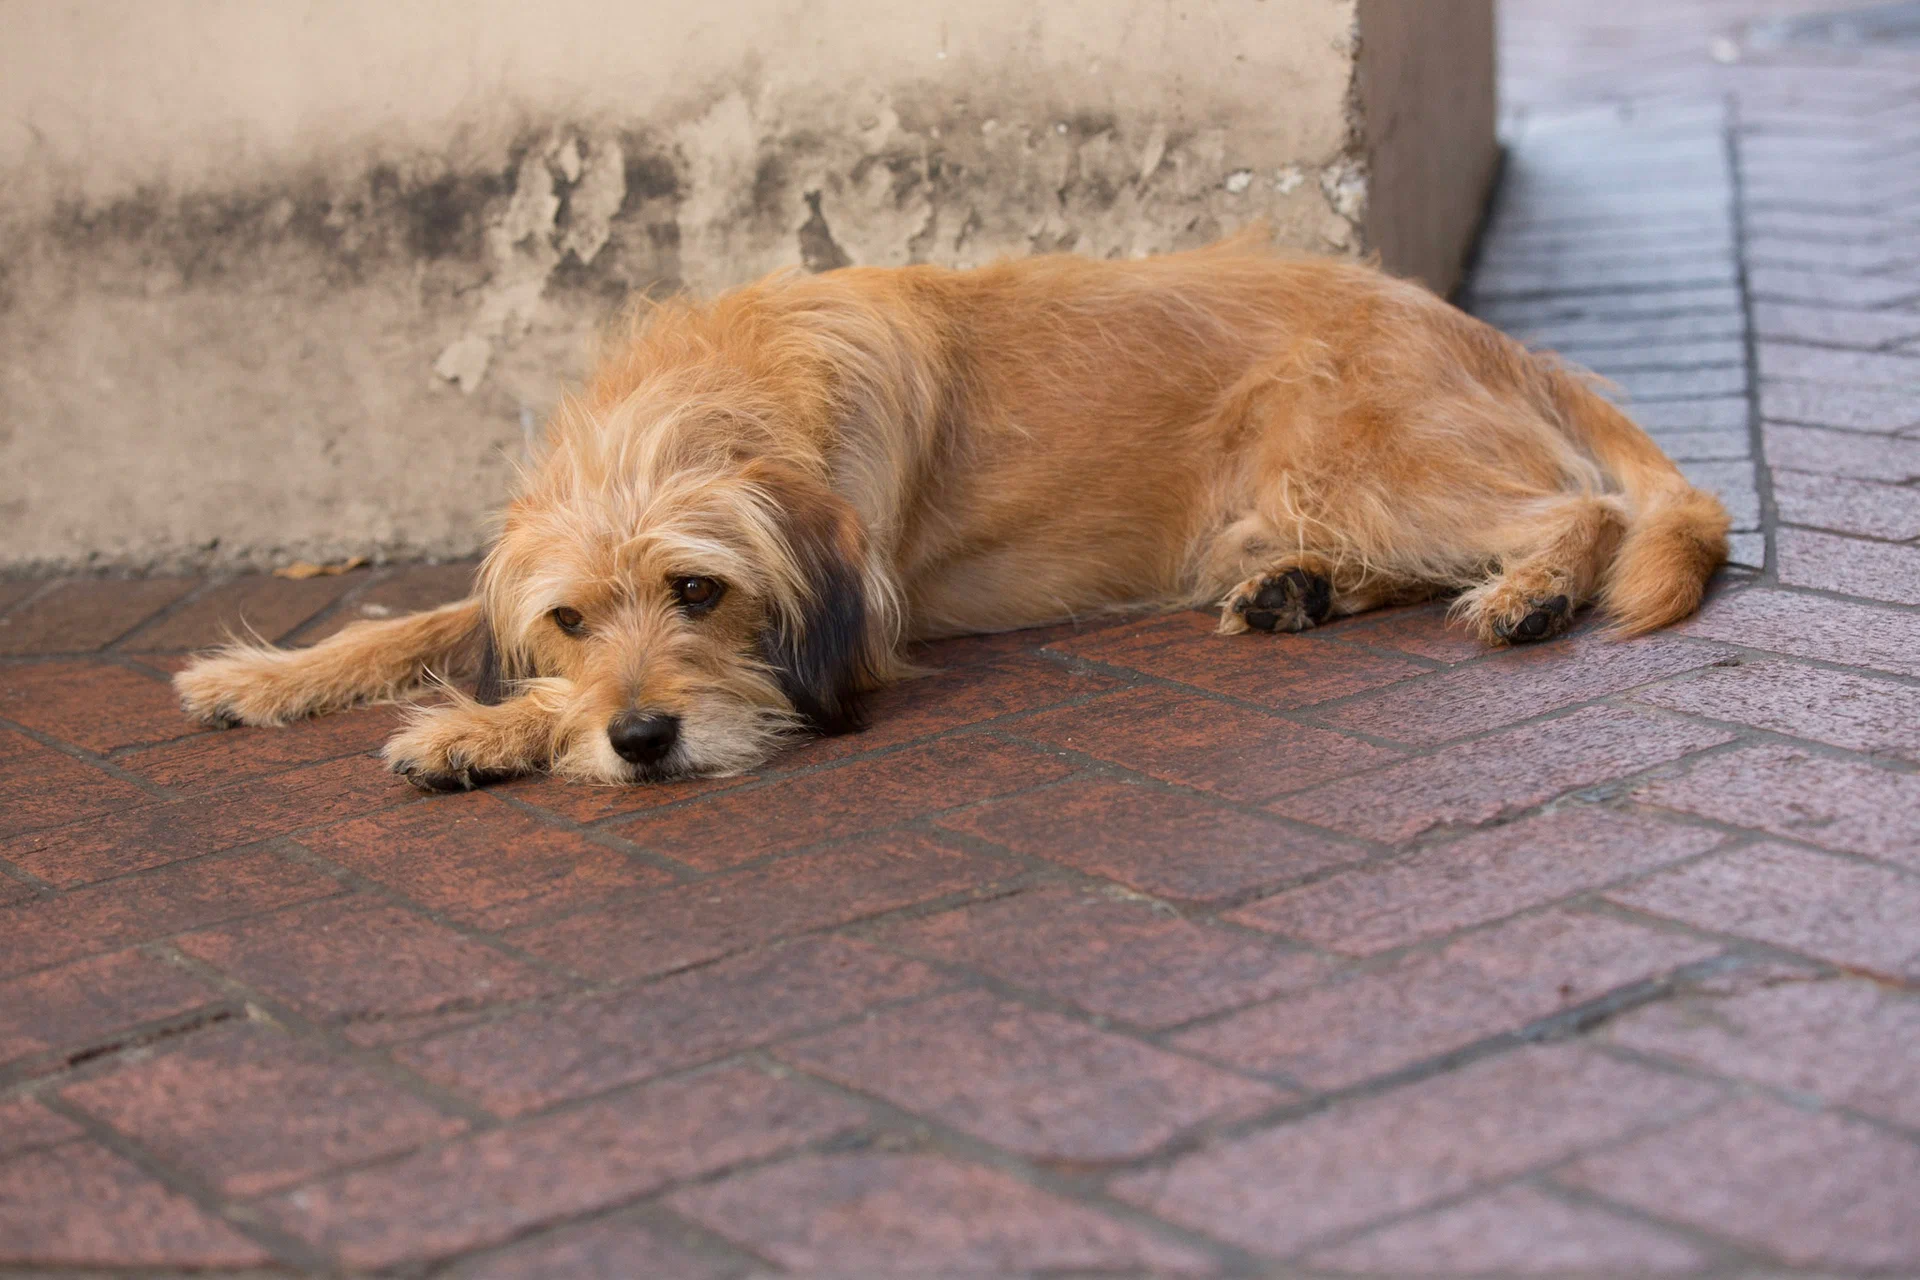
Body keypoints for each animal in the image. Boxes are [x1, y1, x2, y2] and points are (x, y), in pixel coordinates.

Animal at [176, 235, 1728, 786]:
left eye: (700, 591)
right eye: (567, 615)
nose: (644, 739)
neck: (706, 397)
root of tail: (1478, 330)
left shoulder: (855, 625)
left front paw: (482, 733)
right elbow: (436, 613)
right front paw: (271, 675)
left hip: (1340, 461)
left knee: (1579, 508)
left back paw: (1532, 589)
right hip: (1282, 505)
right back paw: (1304, 589)